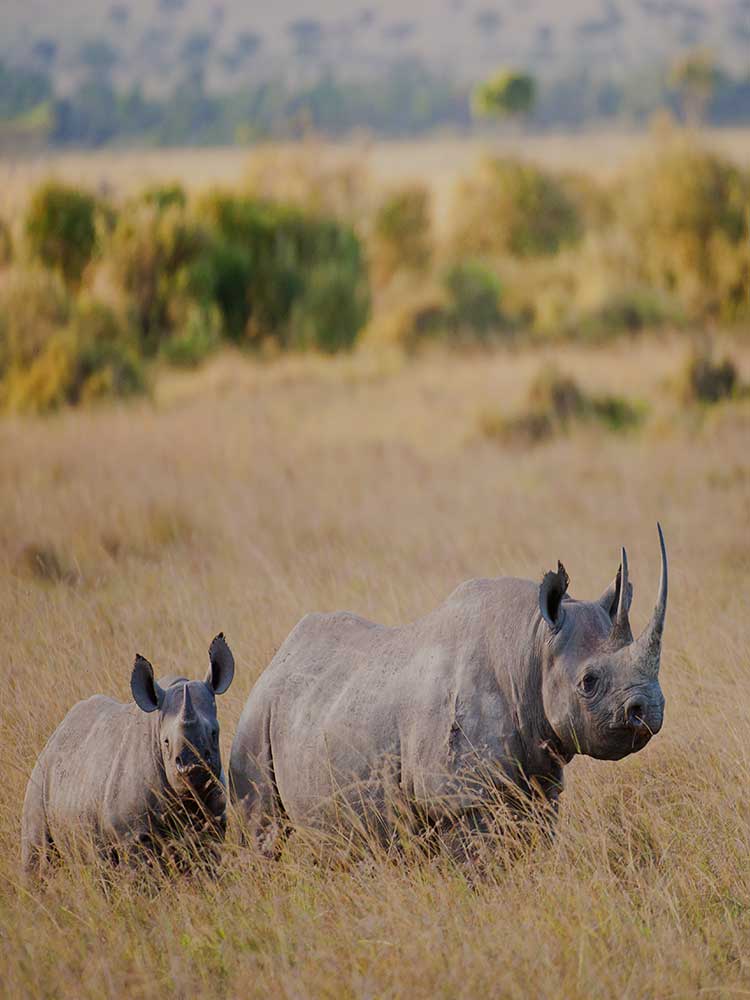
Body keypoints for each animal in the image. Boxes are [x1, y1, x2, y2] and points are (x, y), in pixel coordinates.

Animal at [21, 633, 235, 878]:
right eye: (166, 742)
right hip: (40, 777)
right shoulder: (132, 834)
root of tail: (55, 734)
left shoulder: (214, 820)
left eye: (214, 733)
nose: (193, 768)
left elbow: (206, 865)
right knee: (38, 857)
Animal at [230, 528, 668, 858]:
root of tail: (276, 660)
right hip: (257, 716)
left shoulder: (540, 782)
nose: (650, 710)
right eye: (588, 682)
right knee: (263, 830)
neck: (531, 645)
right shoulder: (457, 797)